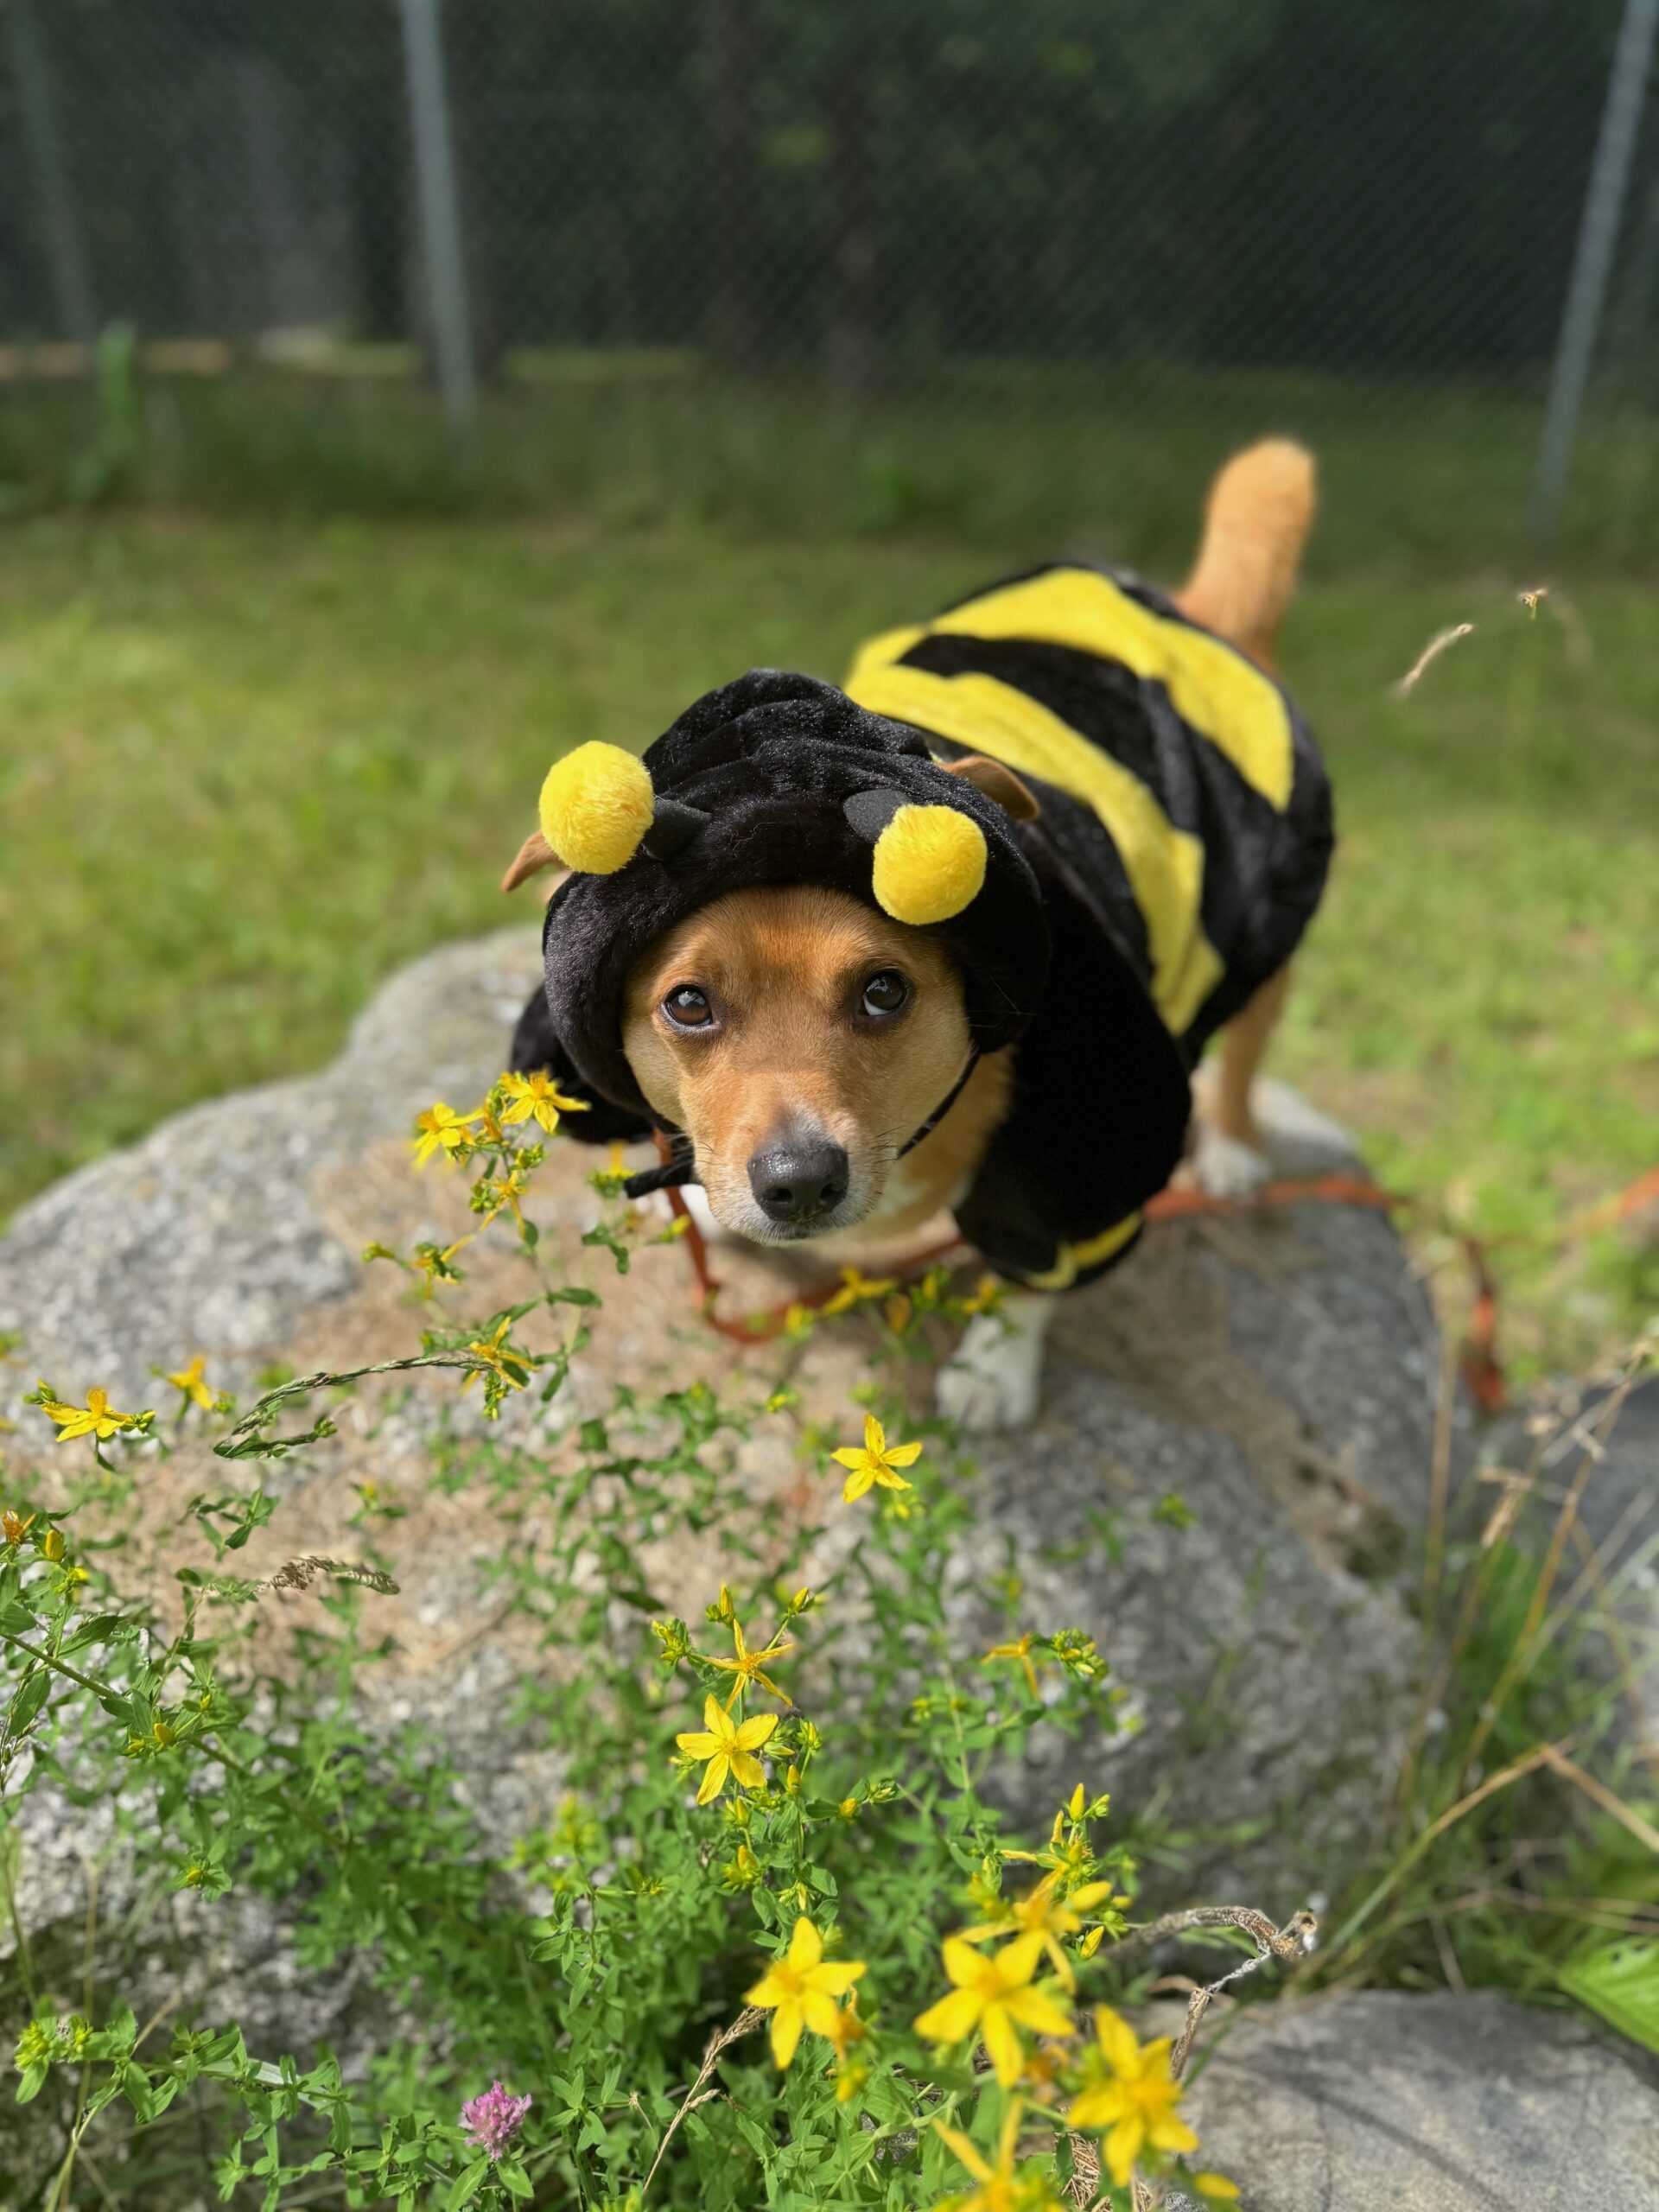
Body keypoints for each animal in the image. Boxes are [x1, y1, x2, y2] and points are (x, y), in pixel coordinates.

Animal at [505, 441, 1330, 1429]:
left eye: (884, 990)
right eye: (688, 1004)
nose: (797, 1181)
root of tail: (1187, 607)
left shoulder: (1082, 1138)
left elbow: (1032, 1266)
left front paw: (996, 1366)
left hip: (1260, 920)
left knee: (1246, 1040)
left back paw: (1235, 1147)